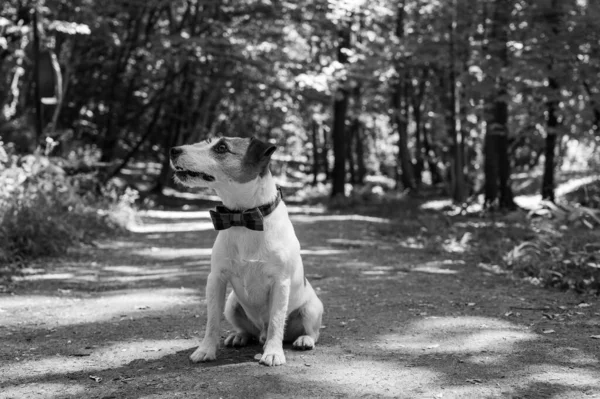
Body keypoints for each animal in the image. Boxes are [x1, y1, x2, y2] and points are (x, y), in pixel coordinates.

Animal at [170, 137, 324, 366]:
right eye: (206, 141)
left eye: (221, 148)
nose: (173, 150)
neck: (243, 217)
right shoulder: (216, 279)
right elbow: (212, 320)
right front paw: (206, 350)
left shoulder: (280, 283)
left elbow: (276, 321)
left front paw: (273, 352)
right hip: (232, 304)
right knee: (247, 330)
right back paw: (239, 336)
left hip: (312, 308)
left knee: (310, 331)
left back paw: (303, 339)